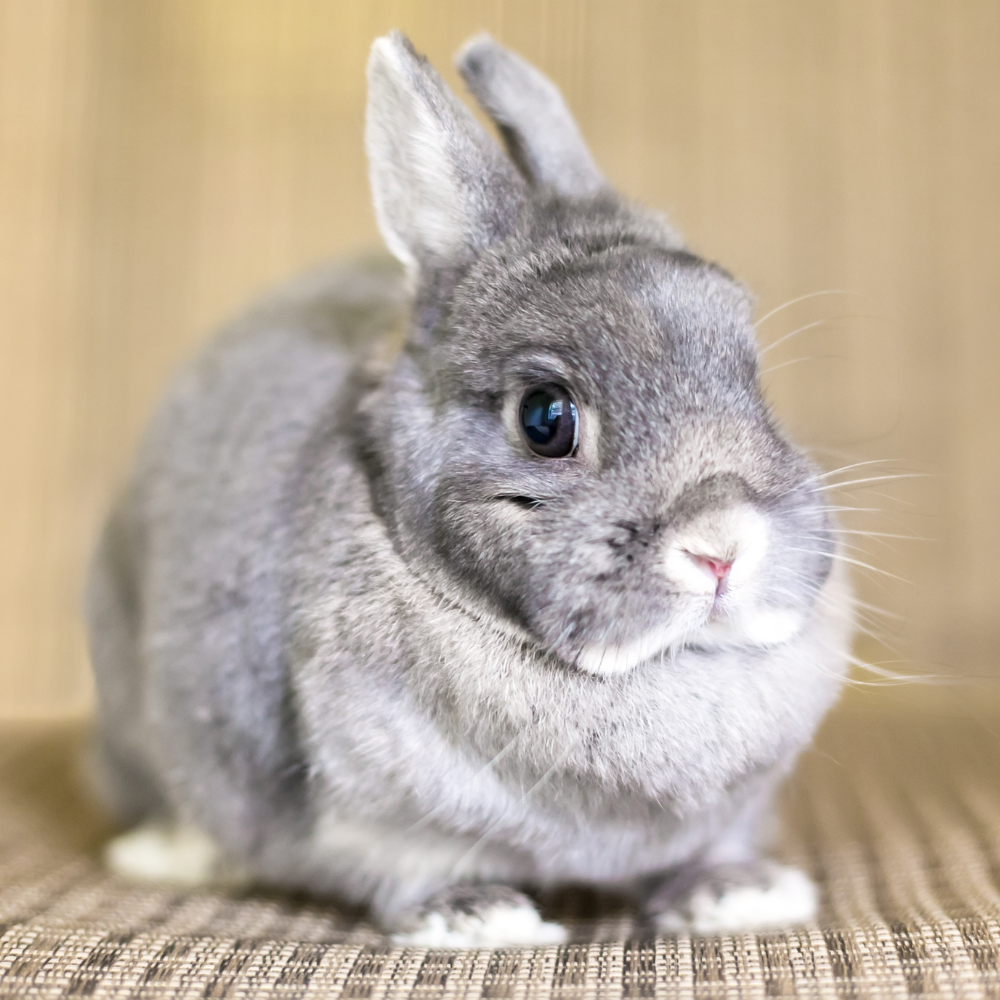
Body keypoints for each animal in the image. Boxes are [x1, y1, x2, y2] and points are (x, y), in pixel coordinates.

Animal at [86, 31, 853, 948]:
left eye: (752, 375)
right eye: (546, 417)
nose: (723, 545)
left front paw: (742, 896)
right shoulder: (368, 818)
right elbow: (402, 871)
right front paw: (480, 918)